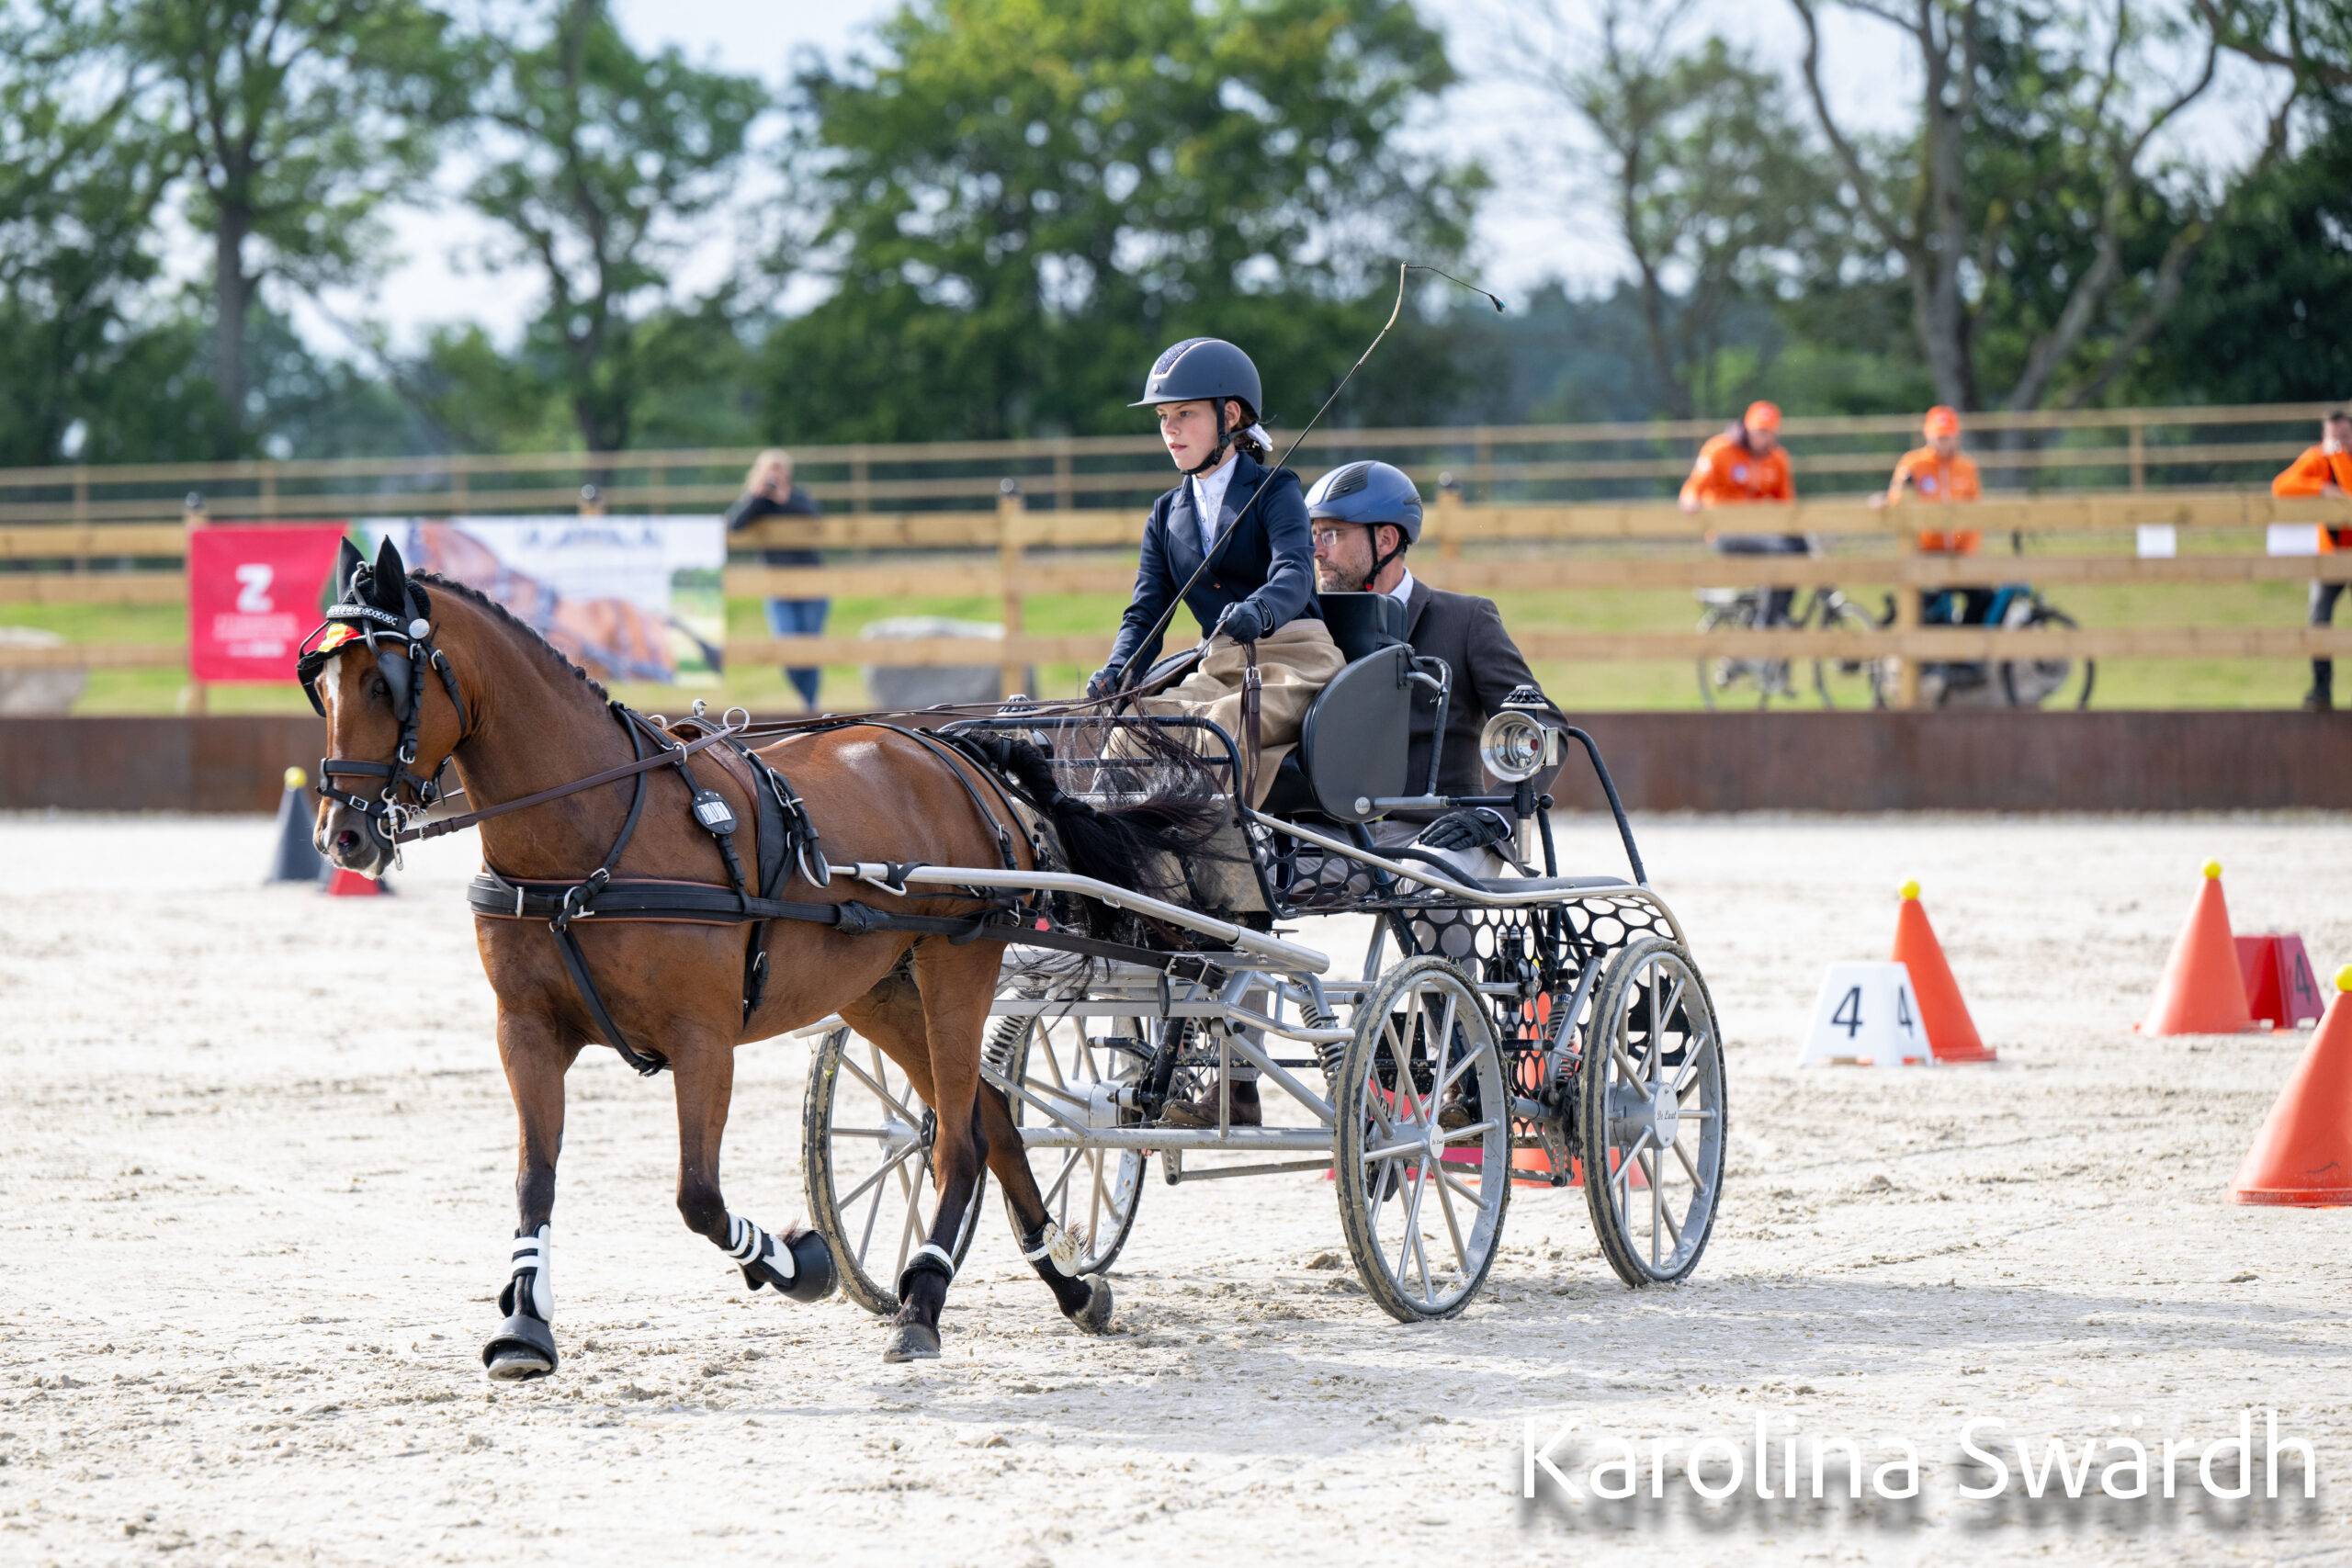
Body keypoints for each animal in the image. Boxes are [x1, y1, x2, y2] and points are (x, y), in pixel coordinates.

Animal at [304, 536, 1218, 1372]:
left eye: (385, 682)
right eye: (322, 685)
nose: (342, 836)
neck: (592, 835)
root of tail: (953, 751)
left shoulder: (703, 1040)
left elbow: (699, 1198)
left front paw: (802, 1262)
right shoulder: (525, 1029)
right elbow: (536, 1179)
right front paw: (525, 1319)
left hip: (959, 965)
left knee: (959, 1135)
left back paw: (923, 1300)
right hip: (881, 990)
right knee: (992, 1118)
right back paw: (1070, 1284)